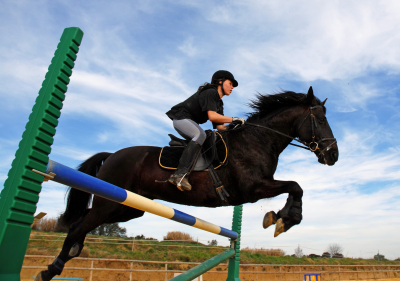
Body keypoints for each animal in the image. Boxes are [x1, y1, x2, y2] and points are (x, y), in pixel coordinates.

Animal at [36, 86, 340, 278]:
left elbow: (295, 187)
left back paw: (68, 255)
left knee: (82, 222)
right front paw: (283, 220)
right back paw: (52, 269)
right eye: (320, 119)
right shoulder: (253, 188)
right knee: (78, 225)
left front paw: (279, 218)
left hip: (127, 208)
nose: (333, 155)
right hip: (110, 204)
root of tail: (112, 155)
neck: (258, 140)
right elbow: (295, 186)